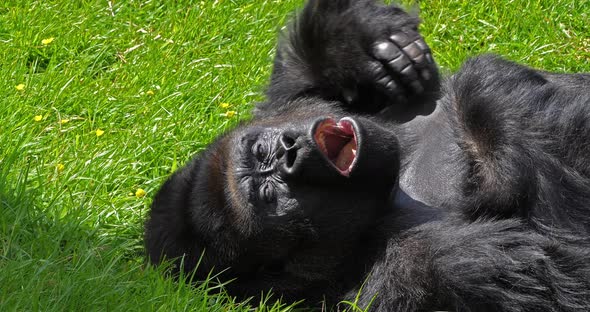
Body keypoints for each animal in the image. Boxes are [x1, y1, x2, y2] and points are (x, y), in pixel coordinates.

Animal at [146, 0, 590, 310]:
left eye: (261, 151)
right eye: (270, 196)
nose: (289, 151)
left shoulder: (287, 100)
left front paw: (367, 47)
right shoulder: (421, 271)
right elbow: (563, 271)